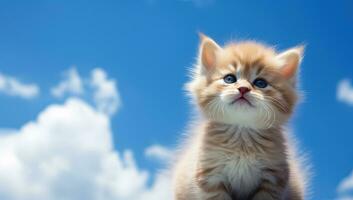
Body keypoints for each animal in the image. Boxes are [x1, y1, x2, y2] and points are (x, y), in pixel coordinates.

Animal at [173, 34, 306, 200]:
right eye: (229, 79)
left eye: (260, 83)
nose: (243, 89)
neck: (242, 134)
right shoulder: (210, 177)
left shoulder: (274, 179)